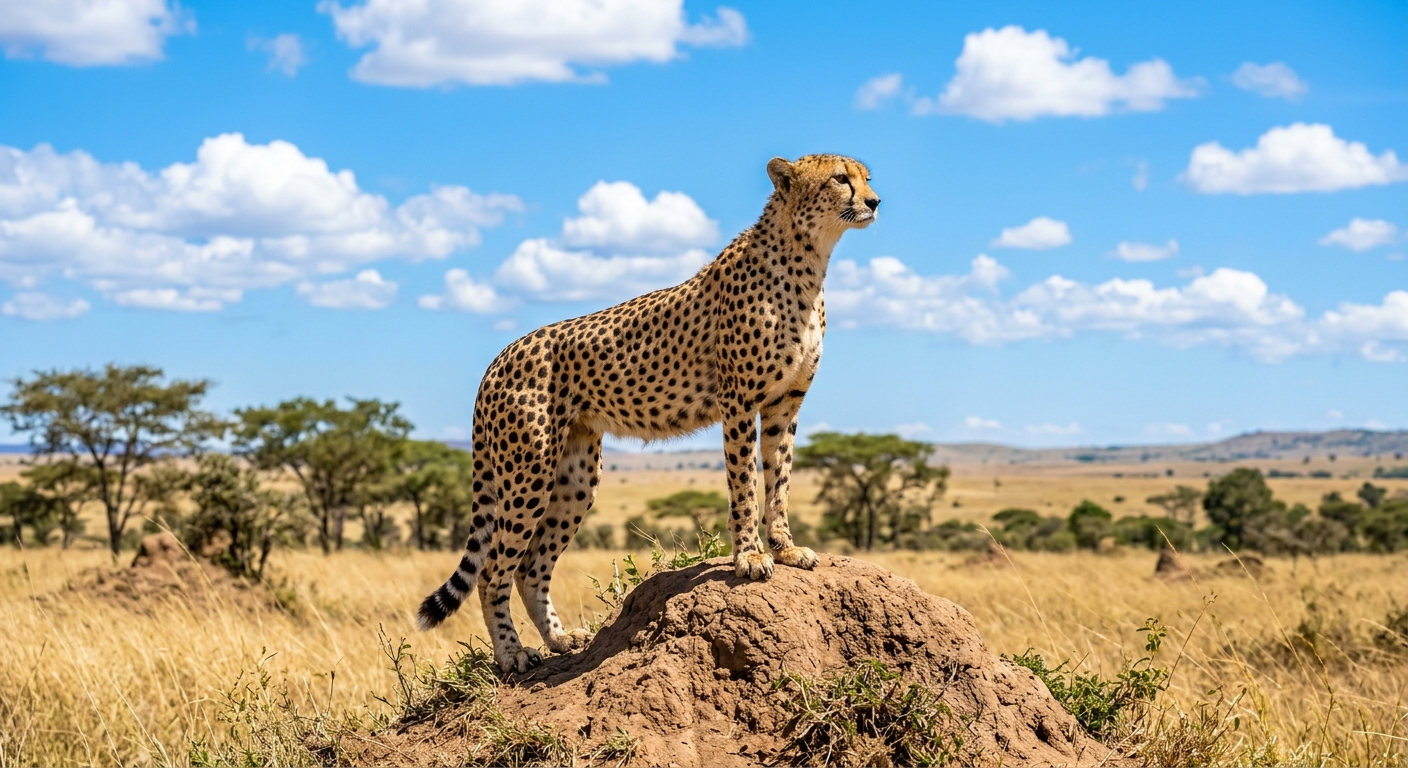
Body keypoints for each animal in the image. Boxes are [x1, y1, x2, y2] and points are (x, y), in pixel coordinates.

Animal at [417, 154, 880, 673]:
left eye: (866, 177)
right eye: (841, 178)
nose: (875, 201)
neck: (808, 258)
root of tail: (501, 356)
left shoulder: (785, 403)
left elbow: (779, 480)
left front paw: (784, 548)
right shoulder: (739, 401)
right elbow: (744, 484)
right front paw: (749, 556)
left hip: (574, 477)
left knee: (531, 566)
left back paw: (560, 640)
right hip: (528, 471)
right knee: (494, 568)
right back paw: (513, 654)